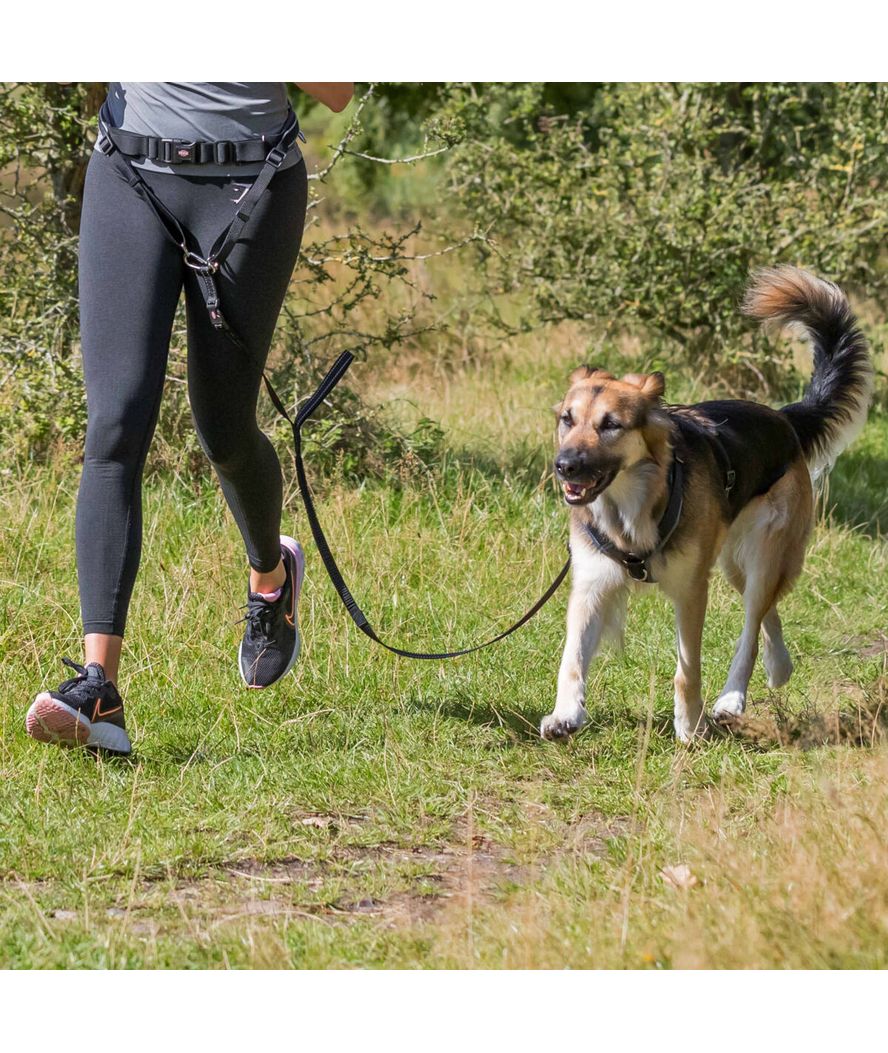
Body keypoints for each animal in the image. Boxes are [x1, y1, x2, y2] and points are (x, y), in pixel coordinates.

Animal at [543, 265, 876, 741]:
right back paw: (780, 667)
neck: (632, 507)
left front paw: (689, 726)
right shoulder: (592, 584)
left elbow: (687, 670)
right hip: (733, 563)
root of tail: (783, 420)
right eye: (567, 420)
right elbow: (571, 659)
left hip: (761, 555)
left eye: (611, 425)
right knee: (767, 614)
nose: (564, 466)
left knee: (752, 626)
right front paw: (566, 715)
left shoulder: (690, 590)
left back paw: (731, 700)